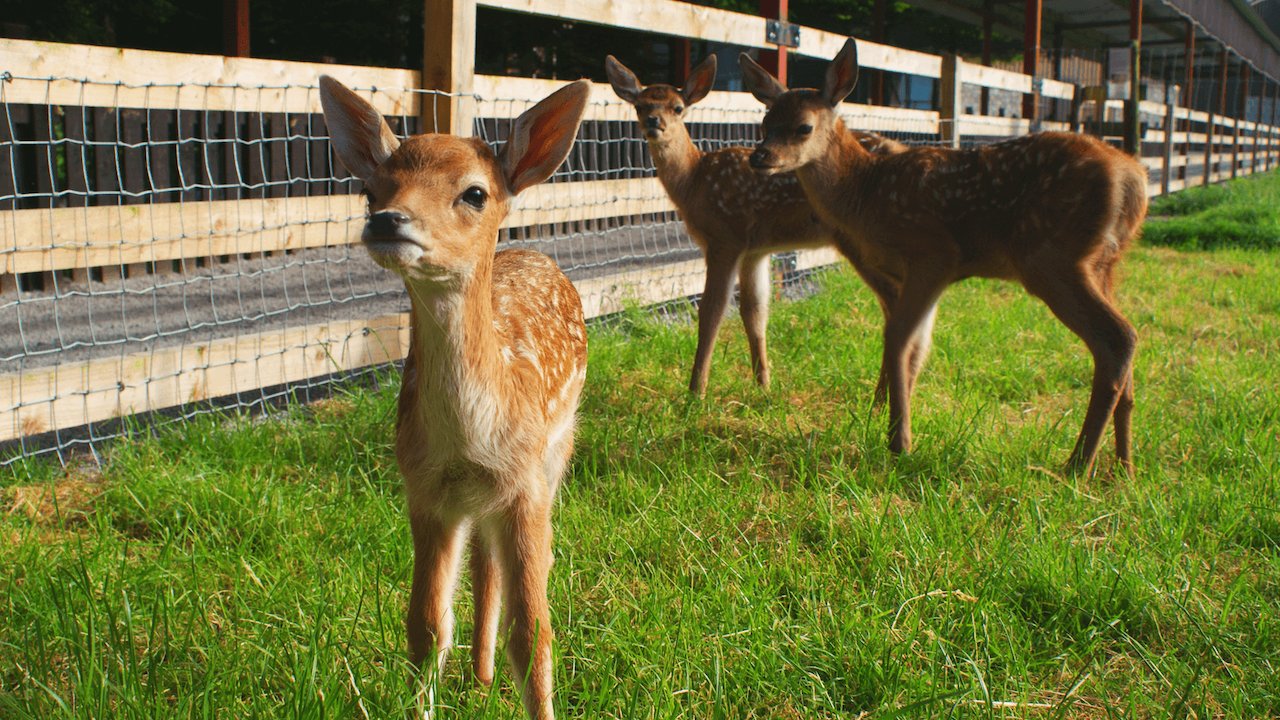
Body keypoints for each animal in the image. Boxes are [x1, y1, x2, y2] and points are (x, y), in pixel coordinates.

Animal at [319, 75, 590, 720]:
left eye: (474, 192)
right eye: (371, 189)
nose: (388, 220)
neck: (471, 438)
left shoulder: (524, 487)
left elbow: (535, 631)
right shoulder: (424, 489)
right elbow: (425, 626)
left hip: (556, 452)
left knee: (522, 566)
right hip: (477, 501)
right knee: (484, 567)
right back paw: (481, 677)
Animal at [605, 53, 913, 398]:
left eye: (678, 107)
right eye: (639, 106)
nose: (653, 122)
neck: (693, 180)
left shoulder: (725, 237)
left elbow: (711, 311)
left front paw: (696, 391)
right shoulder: (755, 250)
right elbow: (754, 312)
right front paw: (763, 384)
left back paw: (884, 397)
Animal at [739, 39, 1147, 477]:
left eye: (803, 127)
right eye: (764, 123)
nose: (759, 157)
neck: (866, 193)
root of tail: (1134, 180)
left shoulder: (932, 253)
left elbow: (898, 338)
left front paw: (899, 441)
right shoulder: (912, 274)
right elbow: (915, 344)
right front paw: (892, 425)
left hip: (1052, 257)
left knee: (1118, 337)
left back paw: (1077, 464)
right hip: (1102, 264)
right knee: (1125, 341)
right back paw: (1124, 466)